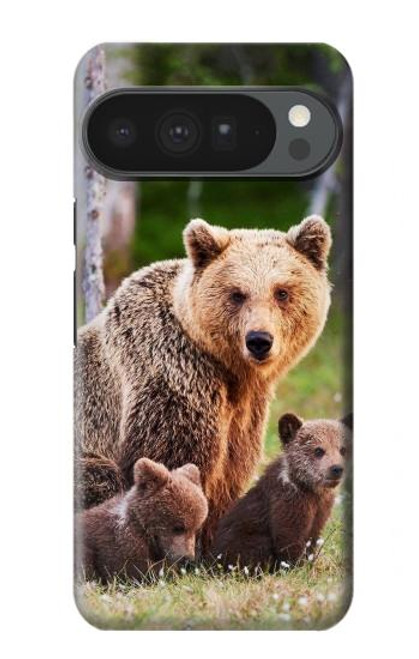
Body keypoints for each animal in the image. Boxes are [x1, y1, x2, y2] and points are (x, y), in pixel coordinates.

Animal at [75, 215, 332, 549]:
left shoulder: (245, 411)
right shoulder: (173, 378)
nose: (259, 340)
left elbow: (231, 471)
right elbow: (174, 463)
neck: (229, 370)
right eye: (237, 293)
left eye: (282, 292)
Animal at [212, 413, 351, 570]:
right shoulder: (288, 503)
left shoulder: (321, 509)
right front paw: (295, 567)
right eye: (319, 450)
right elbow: (289, 539)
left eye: (343, 449)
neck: (309, 488)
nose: (337, 469)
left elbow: (312, 538)